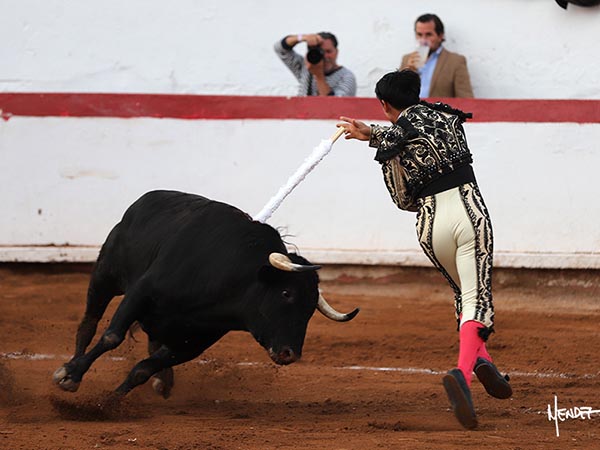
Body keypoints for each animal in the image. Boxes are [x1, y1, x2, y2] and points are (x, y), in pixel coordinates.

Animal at [52, 190, 356, 398]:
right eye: (285, 293)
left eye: (310, 309)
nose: (289, 353)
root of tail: (143, 202)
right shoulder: (140, 293)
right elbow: (112, 336)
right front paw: (72, 375)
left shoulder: (195, 341)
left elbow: (142, 369)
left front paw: (109, 402)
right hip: (105, 275)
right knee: (89, 324)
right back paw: (69, 368)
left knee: (152, 343)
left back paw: (164, 381)